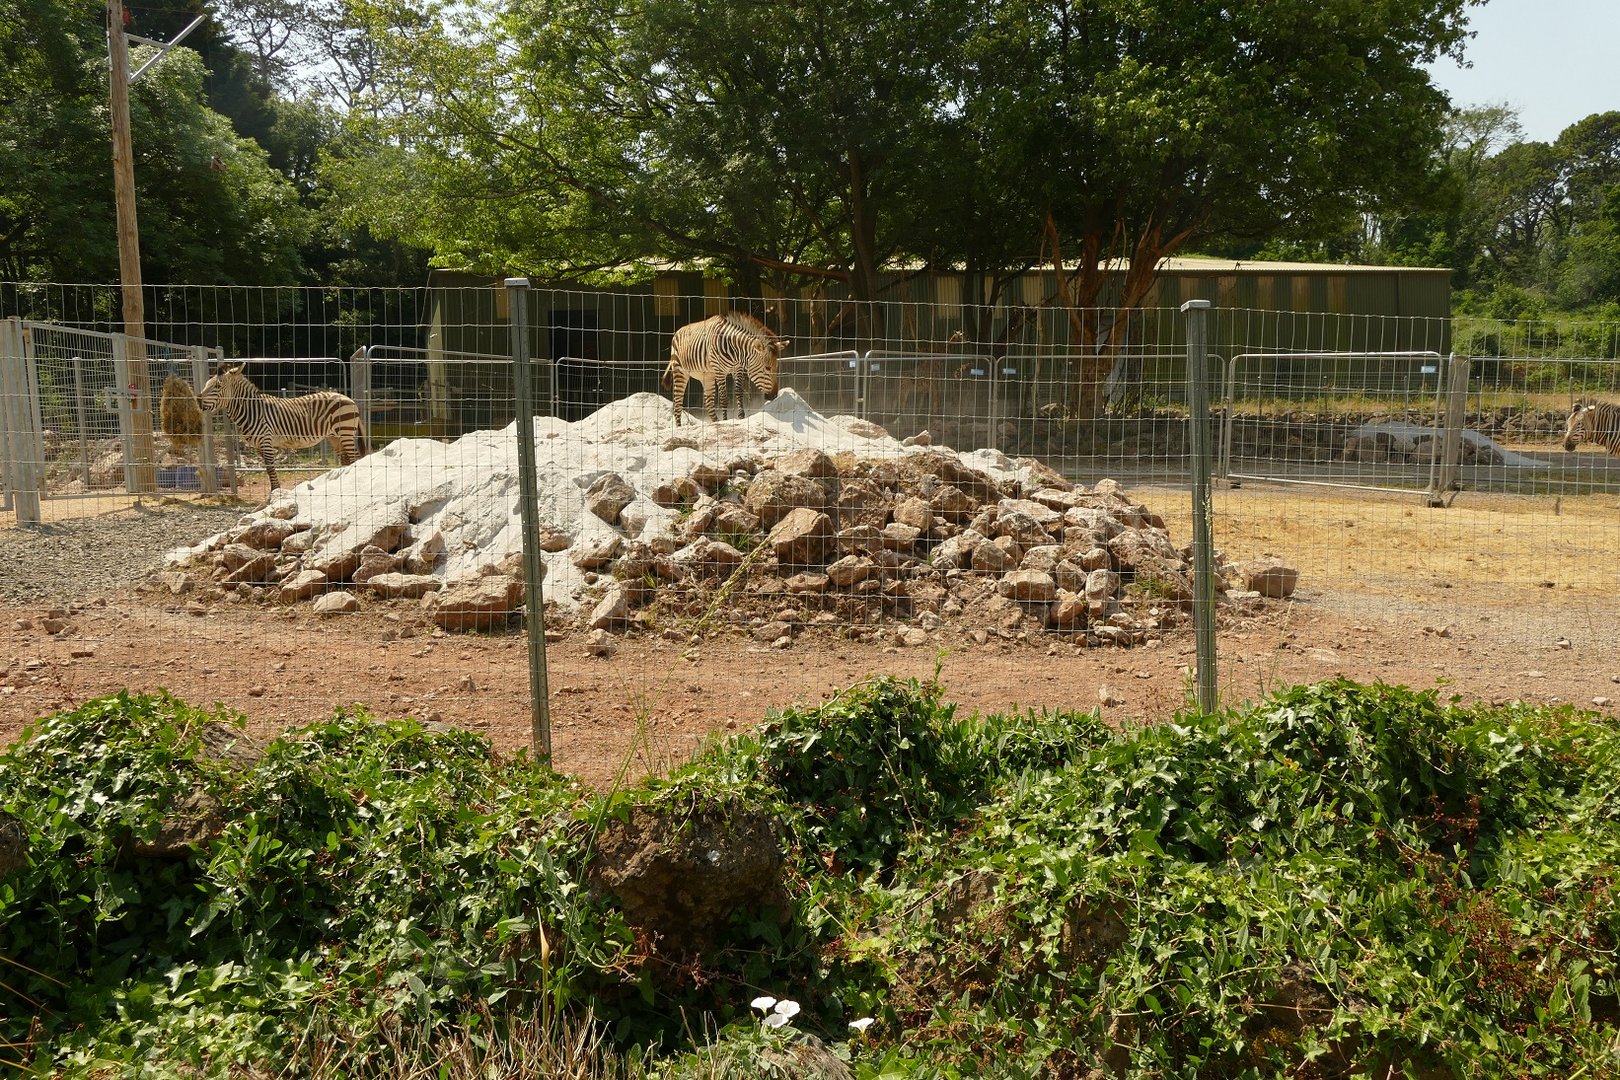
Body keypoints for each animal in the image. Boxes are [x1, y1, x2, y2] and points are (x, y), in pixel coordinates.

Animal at [197, 364, 368, 490]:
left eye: (217, 386)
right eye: (205, 384)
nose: (197, 400)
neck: (253, 410)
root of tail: (348, 398)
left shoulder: (266, 441)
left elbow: (270, 468)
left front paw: (275, 492)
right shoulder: (259, 445)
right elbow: (268, 469)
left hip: (345, 431)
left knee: (355, 458)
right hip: (334, 436)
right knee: (346, 459)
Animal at [660, 311, 789, 425]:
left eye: (776, 367)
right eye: (767, 368)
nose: (774, 395)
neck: (735, 351)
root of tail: (678, 331)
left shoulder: (738, 369)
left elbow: (739, 393)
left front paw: (741, 417)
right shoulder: (720, 371)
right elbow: (723, 398)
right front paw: (726, 420)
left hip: (707, 376)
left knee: (709, 403)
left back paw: (716, 423)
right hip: (680, 372)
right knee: (677, 403)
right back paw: (679, 428)